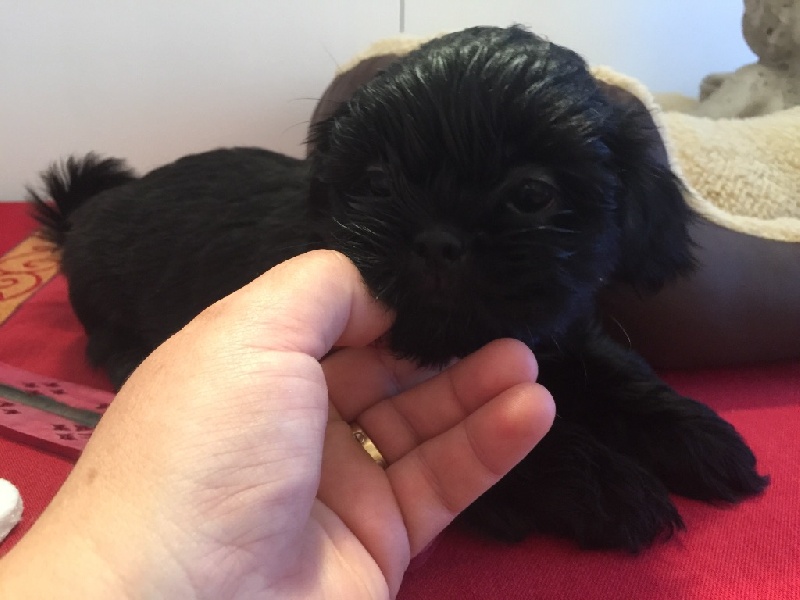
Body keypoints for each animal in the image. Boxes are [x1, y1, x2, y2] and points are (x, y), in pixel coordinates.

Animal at [30, 26, 768, 552]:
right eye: (379, 184)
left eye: (533, 194)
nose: (439, 239)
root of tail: (86, 212)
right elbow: (534, 444)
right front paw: (608, 484)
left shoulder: (556, 328)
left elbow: (616, 372)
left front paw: (700, 439)